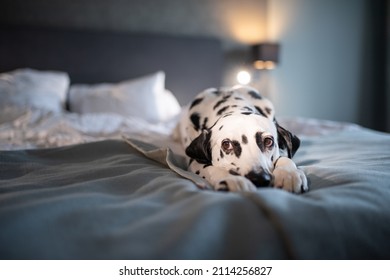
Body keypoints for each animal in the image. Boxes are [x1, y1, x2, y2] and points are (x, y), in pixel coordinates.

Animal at [176, 85, 308, 192]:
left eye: (268, 141)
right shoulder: (194, 161)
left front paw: (289, 174)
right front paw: (233, 180)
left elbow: (285, 158)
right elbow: (210, 168)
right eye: (226, 144)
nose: (259, 178)